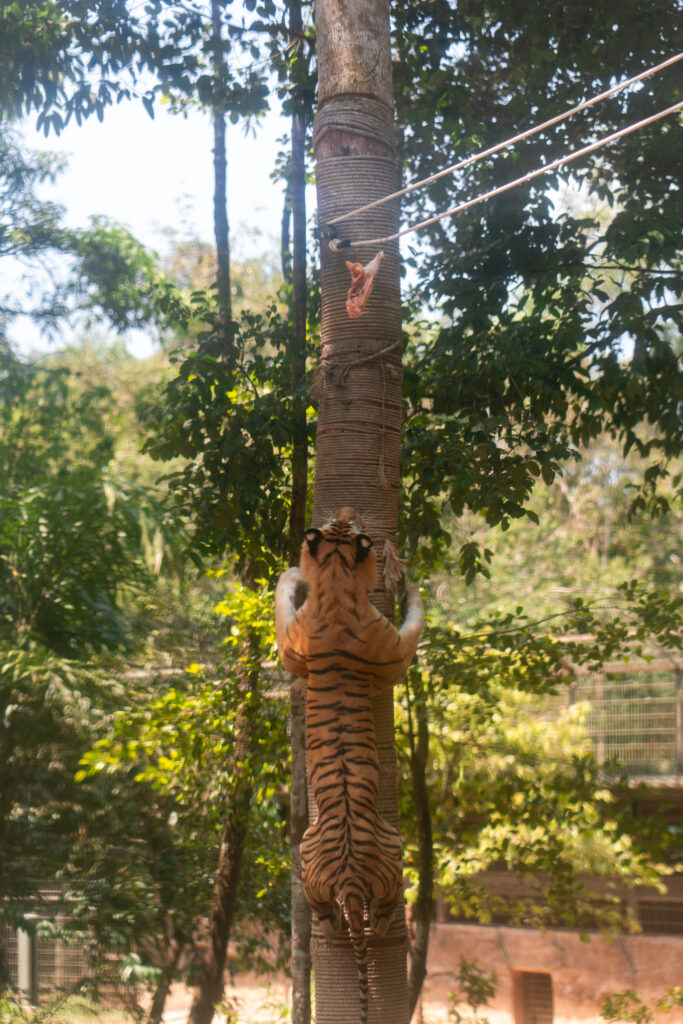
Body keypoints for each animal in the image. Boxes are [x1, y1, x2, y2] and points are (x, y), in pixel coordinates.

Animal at [274, 505, 423, 1024]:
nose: (347, 509)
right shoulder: (394, 652)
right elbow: (415, 620)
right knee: (382, 913)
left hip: (307, 857)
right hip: (393, 849)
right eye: (354, 529)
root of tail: (351, 878)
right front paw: (409, 582)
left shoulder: (291, 646)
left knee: (328, 913)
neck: (337, 581)